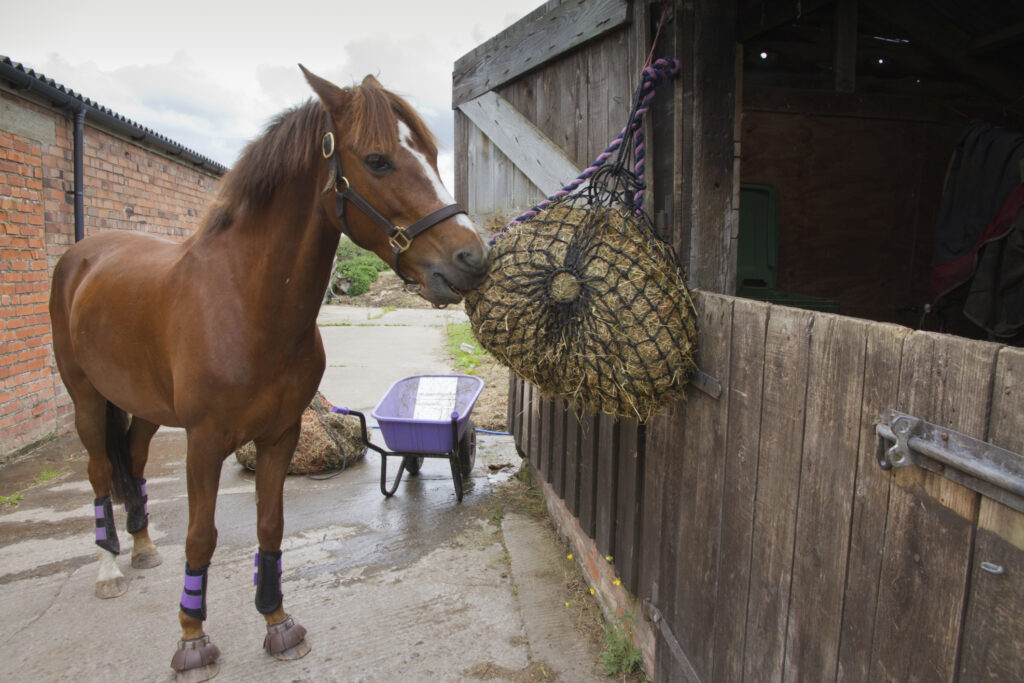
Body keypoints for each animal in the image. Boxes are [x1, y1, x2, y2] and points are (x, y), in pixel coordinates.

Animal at [48, 65, 489, 681]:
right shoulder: (205, 442)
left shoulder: (280, 434)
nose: (474, 259)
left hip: (144, 407)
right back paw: (109, 568)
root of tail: (82, 255)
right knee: (97, 472)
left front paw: (277, 622)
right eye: (378, 160)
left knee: (131, 462)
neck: (247, 302)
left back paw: (141, 548)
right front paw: (192, 639)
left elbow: (270, 525)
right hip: (87, 398)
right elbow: (201, 537)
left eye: (429, 153)